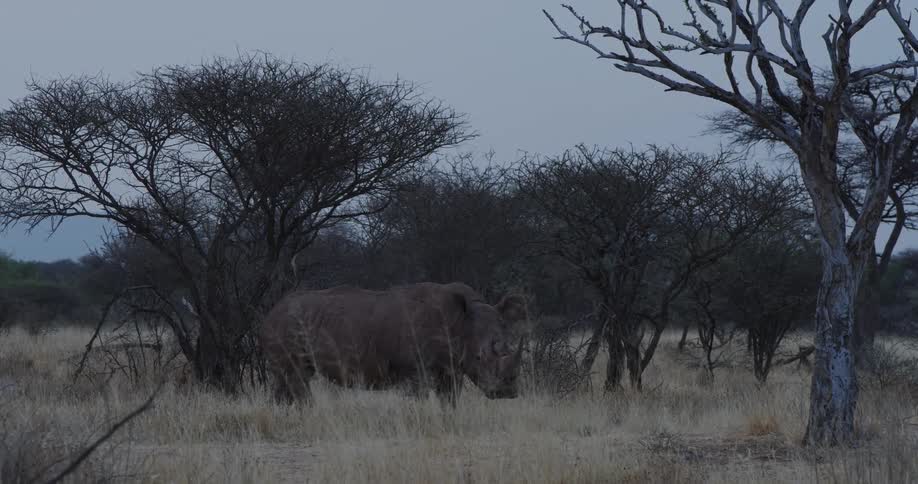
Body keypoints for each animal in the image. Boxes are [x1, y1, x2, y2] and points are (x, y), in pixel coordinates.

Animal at [259, 282, 527, 405]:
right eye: (479, 357)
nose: (506, 393)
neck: (461, 321)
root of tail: (270, 312)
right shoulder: (414, 369)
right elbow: (419, 397)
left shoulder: (451, 367)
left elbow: (449, 399)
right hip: (286, 327)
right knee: (297, 376)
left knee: (284, 379)